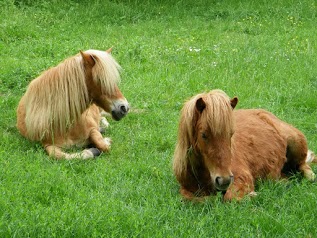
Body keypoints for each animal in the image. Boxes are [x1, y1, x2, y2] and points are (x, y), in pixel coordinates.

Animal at [172, 89, 314, 201]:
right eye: (203, 135)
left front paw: (253, 195)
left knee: (303, 165)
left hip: (295, 142)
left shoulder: (241, 179)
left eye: (231, 134)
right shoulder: (187, 189)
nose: (224, 180)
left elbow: (229, 198)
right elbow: (194, 199)